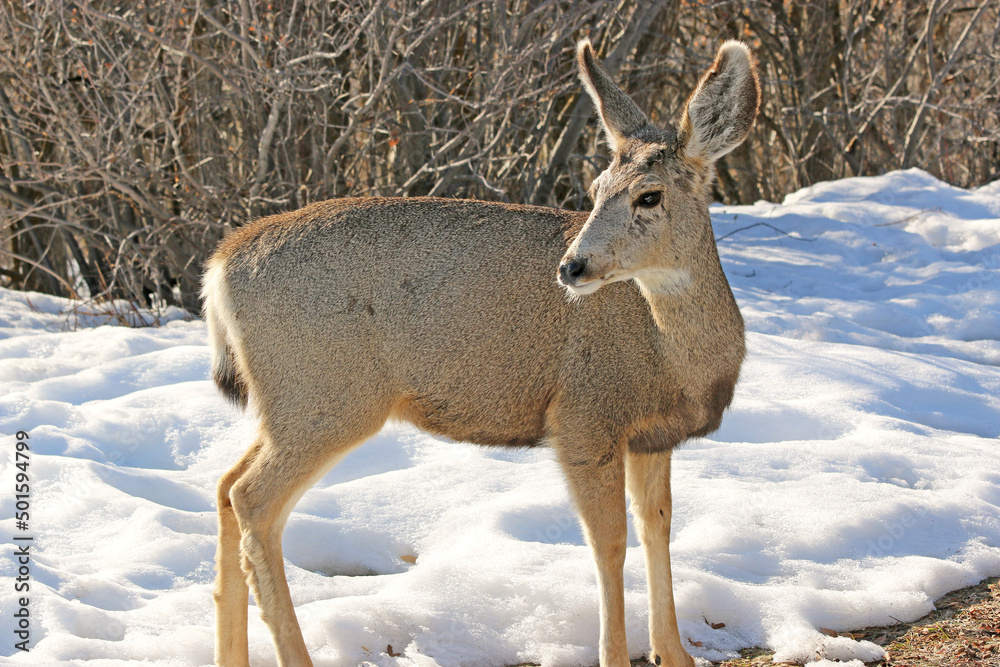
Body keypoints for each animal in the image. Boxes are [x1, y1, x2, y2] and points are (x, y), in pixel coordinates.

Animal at [202, 38, 759, 667]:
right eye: (595, 193)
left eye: (649, 195)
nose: (572, 266)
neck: (671, 355)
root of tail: (218, 267)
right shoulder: (583, 417)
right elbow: (609, 543)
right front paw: (617, 654)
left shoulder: (652, 435)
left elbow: (657, 527)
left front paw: (674, 653)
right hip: (326, 396)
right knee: (252, 499)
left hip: (288, 404)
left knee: (225, 487)